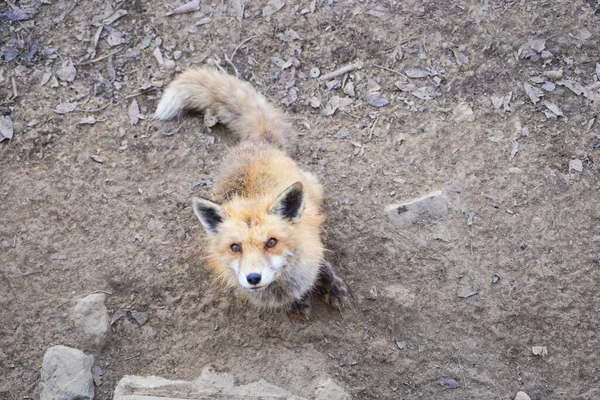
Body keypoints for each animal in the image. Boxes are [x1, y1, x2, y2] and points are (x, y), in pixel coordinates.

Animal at [154, 66, 346, 318]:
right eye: (235, 247)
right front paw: (296, 303)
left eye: (272, 242)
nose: (253, 278)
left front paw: (331, 286)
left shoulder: (312, 244)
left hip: (312, 189)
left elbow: (322, 264)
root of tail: (255, 144)